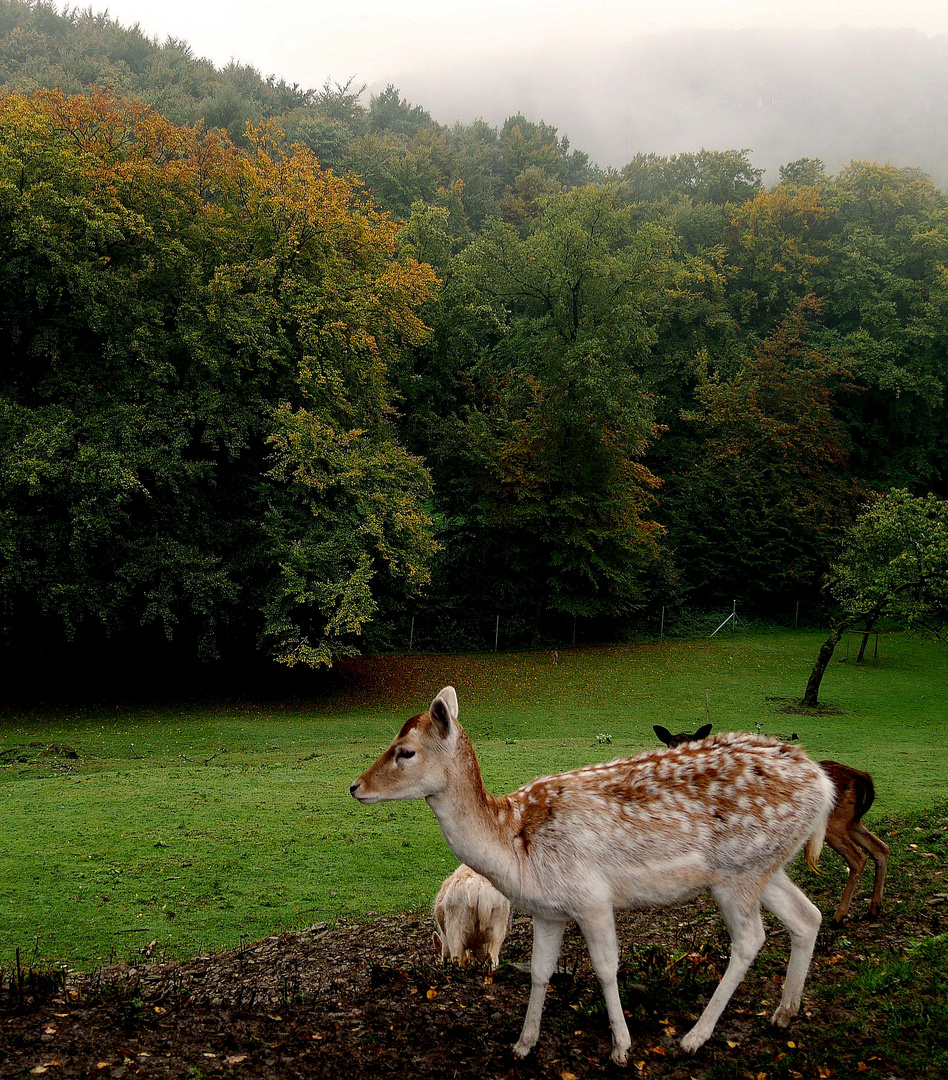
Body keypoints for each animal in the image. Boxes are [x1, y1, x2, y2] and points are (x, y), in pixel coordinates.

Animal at [351, 686, 833, 1058]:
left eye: (405, 751)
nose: (356, 786)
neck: (515, 849)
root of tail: (823, 784)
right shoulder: (547, 910)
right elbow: (540, 971)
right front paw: (523, 1045)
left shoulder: (591, 897)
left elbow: (605, 968)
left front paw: (622, 1046)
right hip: (767, 866)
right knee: (808, 916)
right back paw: (783, 1014)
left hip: (737, 873)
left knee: (751, 938)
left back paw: (694, 1037)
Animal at [652, 725, 889, 920]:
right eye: (669, 744)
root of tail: (864, 778)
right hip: (852, 821)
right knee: (880, 847)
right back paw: (874, 907)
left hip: (834, 824)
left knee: (858, 857)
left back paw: (839, 916)